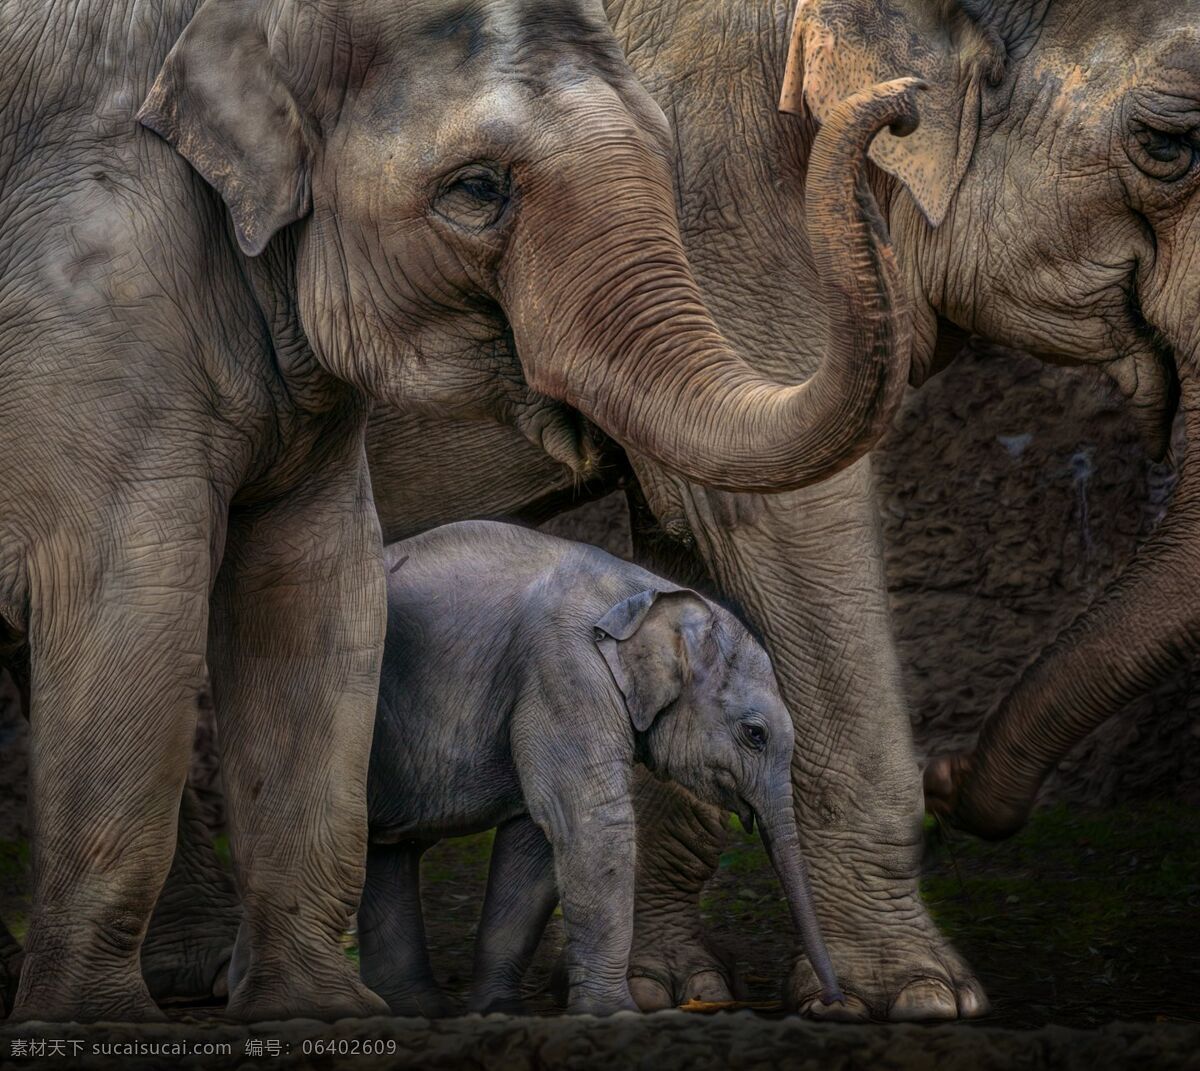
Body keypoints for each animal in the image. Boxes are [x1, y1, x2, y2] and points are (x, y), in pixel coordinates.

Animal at [335, 521, 841, 1016]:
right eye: (755, 734)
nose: (828, 1001)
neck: (646, 591)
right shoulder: (565, 671)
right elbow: (589, 822)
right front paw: (614, 1014)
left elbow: (534, 843)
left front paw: (501, 1011)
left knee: (390, 850)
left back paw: (420, 1010)